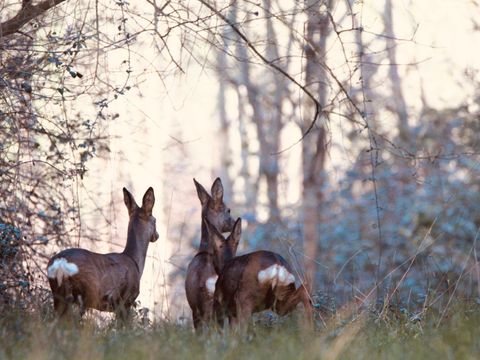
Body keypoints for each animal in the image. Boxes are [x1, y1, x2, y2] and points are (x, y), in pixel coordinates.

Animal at [46, 186, 158, 320]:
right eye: (155, 220)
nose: (157, 235)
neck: (134, 261)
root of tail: (59, 264)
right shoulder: (125, 301)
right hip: (83, 294)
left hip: (58, 294)